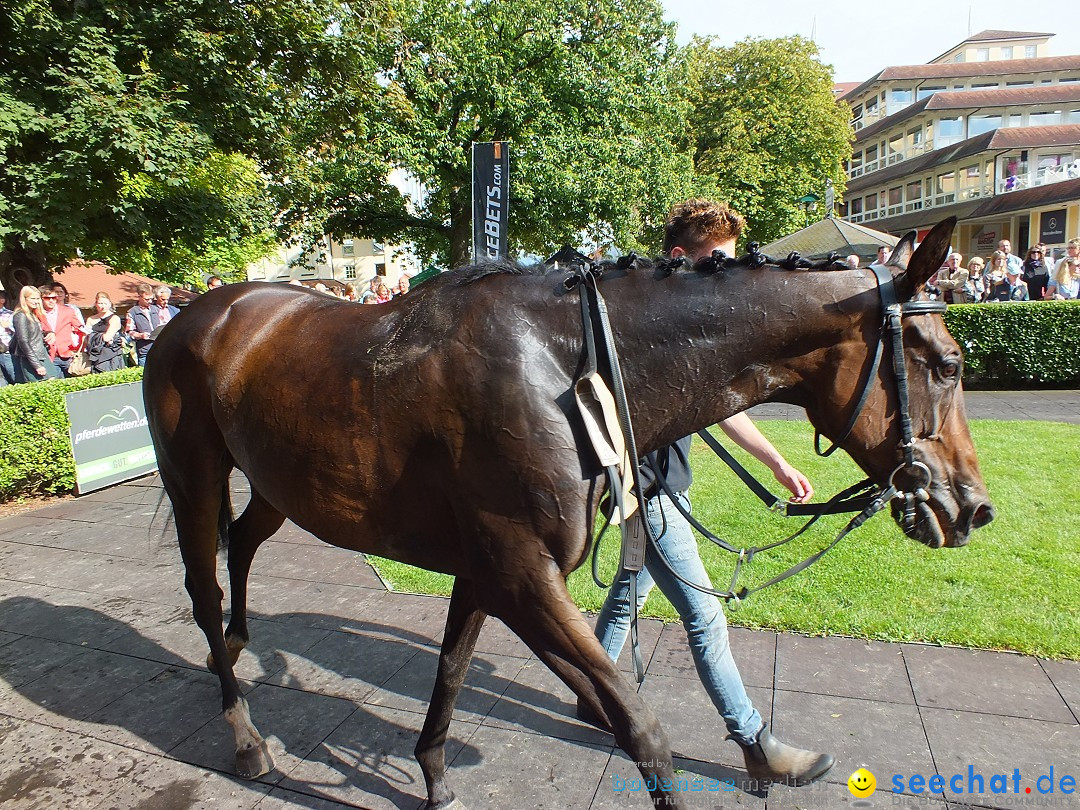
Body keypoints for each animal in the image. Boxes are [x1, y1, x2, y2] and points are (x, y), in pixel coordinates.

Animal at [143, 219, 993, 807]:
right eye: (949, 364)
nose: (973, 507)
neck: (562, 365)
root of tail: (195, 314)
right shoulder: (521, 574)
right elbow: (639, 725)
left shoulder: (488, 569)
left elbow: (452, 670)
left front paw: (434, 774)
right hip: (194, 477)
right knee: (203, 587)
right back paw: (245, 733)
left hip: (275, 484)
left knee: (243, 542)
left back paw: (240, 643)